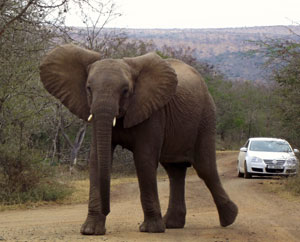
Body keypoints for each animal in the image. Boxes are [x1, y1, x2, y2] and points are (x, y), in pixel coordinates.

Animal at [39, 43, 237, 234]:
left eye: (125, 91)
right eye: (88, 88)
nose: (108, 210)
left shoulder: (152, 111)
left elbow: (144, 159)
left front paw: (151, 230)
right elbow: (96, 160)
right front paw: (90, 231)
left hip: (206, 117)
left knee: (205, 168)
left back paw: (230, 219)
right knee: (175, 171)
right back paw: (173, 224)